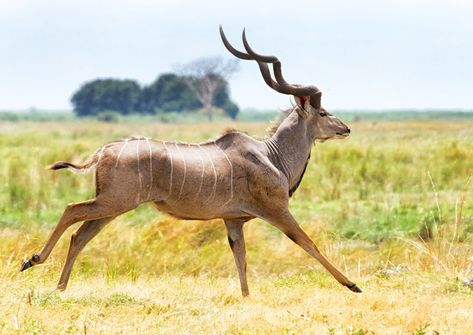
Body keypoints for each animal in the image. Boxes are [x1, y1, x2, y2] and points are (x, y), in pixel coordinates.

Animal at [20, 26, 360, 296]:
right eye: (323, 112)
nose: (346, 129)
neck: (271, 155)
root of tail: (105, 150)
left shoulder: (233, 221)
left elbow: (241, 258)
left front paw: (246, 298)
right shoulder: (277, 211)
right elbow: (308, 243)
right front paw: (352, 284)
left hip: (111, 207)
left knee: (80, 235)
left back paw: (59, 287)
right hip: (114, 202)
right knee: (71, 211)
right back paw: (32, 260)